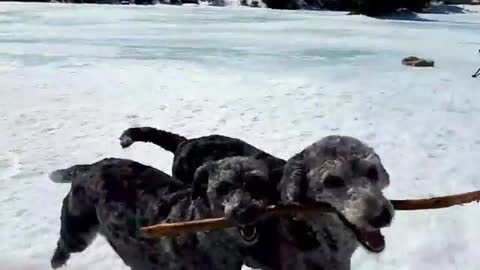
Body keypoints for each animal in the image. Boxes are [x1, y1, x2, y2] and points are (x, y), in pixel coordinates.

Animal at [47, 156, 282, 270]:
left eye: (257, 184)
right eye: (222, 188)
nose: (245, 211)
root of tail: (87, 168)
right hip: (77, 232)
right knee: (62, 247)